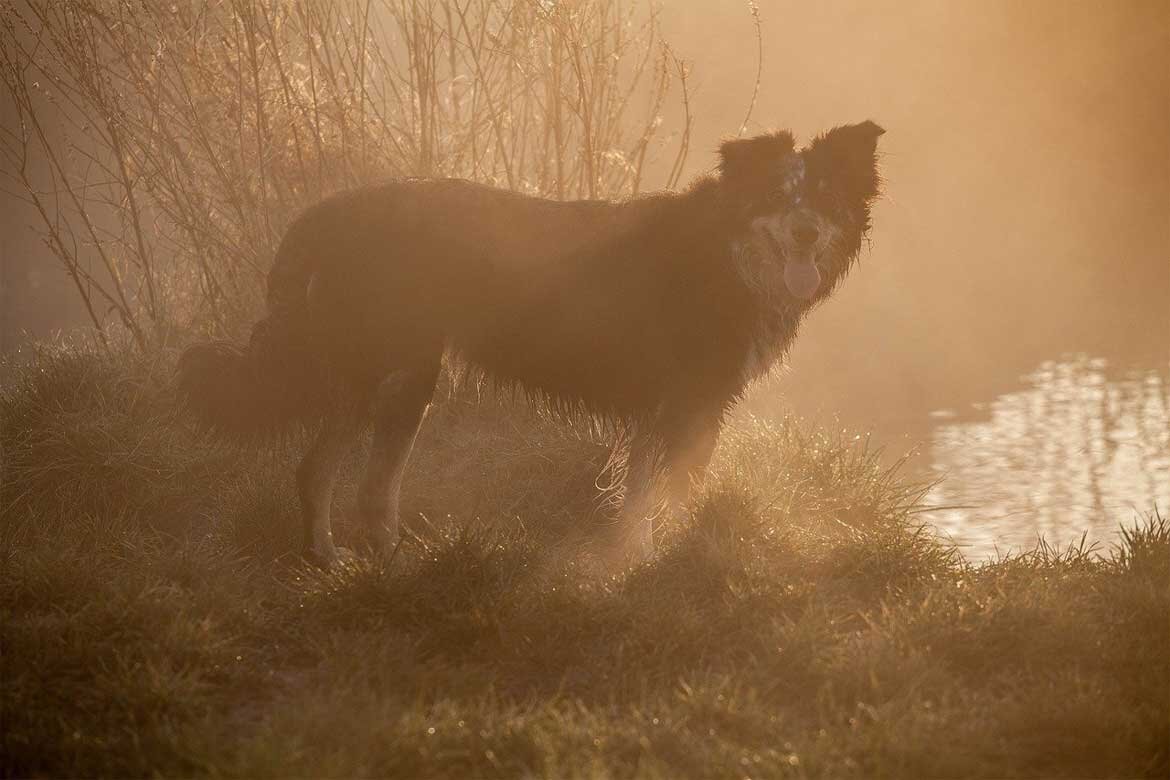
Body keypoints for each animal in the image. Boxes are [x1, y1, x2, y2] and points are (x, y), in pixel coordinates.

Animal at [177, 120, 879, 568]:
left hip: (408, 379)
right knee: (321, 469)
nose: (806, 234)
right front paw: (649, 561)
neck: (722, 254)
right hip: (381, 370)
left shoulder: (697, 404)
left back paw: (383, 560)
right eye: (776, 195)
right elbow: (655, 494)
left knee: (371, 485)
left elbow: (670, 491)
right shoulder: (675, 401)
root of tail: (328, 213)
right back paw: (330, 559)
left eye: (825, 198)